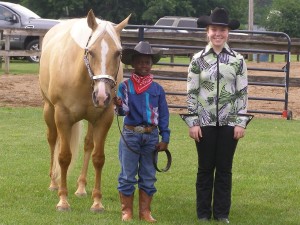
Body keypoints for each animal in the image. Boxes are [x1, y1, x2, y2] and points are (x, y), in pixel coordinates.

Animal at [38, 10, 129, 211]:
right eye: (90, 51)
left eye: (118, 53)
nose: (102, 96)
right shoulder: (62, 116)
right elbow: (64, 157)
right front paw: (63, 201)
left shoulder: (104, 118)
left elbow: (98, 158)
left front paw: (97, 202)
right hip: (49, 110)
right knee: (52, 140)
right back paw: (53, 183)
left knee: (88, 145)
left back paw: (80, 188)